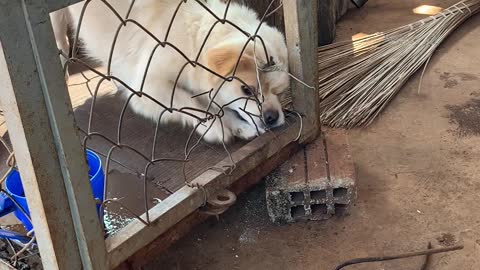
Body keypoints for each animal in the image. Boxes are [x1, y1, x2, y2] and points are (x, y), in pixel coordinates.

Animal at [51, 0, 290, 143]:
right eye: (246, 90)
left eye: (280, 91)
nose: (272, 117)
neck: (192, 39)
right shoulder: (147, 88)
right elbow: (188, 102)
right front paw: (214, 127)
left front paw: (240, 127)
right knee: (60, 42)